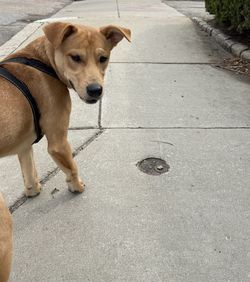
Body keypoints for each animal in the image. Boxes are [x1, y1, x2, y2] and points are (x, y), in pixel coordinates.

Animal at [0, 22, 132, 197]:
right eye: (75, 57)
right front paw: (76, 186)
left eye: (103, 58)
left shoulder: (24, 145)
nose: (95, 90)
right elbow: (72, 167)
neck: (45, 60)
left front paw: (33, 190)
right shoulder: (59, 143)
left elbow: (29, 171)